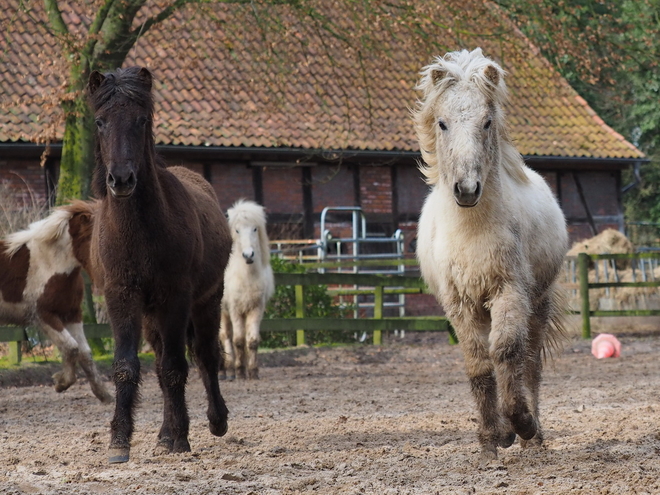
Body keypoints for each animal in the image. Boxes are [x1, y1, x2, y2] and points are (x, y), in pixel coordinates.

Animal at [0, 202, 111, 404]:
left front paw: (103, 394)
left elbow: (85, 352)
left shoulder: (72, 314)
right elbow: (71, 347)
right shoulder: (44, 316)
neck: (50, 265)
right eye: (93, 238)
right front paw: (61, 382)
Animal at [87, 67, 232, 464]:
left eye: (141, 120)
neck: (139, 232)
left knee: (205, 356)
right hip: (152, 315)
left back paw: (215, 421)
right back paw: (164, 433)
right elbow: (127, 367)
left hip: (206, 302)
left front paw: (179, 437)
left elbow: (175, 367)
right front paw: (120, 441)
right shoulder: (121, 297)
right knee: (161, 362)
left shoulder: (176, 298)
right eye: (100, 122)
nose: (121, 180)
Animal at [220, 200, 274, 382]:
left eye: (255, 228)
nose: (248, 255)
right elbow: (238, 341)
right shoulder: (235, 309)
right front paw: (239, 371)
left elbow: (251, 340)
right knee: (225, 337)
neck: (246, 277)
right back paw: (227, 371)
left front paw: (252, 371)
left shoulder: (255, 309)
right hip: (222, 312)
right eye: (237, 230)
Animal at [418, 49, 568, 462]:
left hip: (538, 303)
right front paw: (491, 439)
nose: (467, 189)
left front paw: (520, 425)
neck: (472, 230)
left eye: (486, 122)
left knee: (529, 364)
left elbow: (507, 353)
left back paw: (533, 436)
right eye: (442, 123)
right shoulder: (459, 303)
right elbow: (479, 366)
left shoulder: (509, 292)